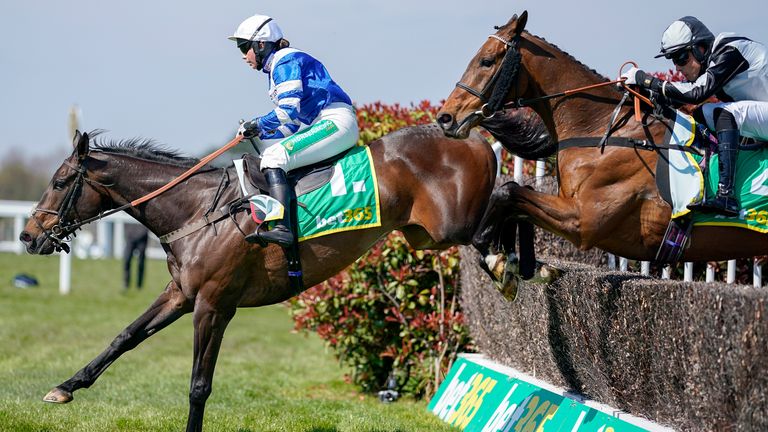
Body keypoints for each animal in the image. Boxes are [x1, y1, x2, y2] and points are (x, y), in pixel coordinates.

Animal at [19, 125, 498, 432]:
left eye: (59, 181)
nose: (27, 236)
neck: (198, 211)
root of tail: (473, 137)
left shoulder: (213, 305)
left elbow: (198, 385)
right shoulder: (181, 293)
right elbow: (125, 337)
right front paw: (65, 387)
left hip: (452, 227)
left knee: (505, 206)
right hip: (426, 236)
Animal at [436, 10, 768, 264]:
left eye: (487, 61)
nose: (445, 117)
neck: (600, 130)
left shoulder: (582, 221)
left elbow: (509, 192)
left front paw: (492, 252)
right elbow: (513, 196)